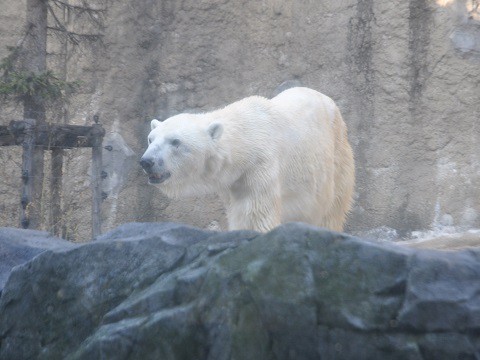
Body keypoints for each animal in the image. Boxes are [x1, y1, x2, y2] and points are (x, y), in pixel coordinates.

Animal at [141, 88, 354, 232]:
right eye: (151, 139)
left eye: (175, 141)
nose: (147, 161)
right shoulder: (233, 182)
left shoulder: (261, 167)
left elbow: (255, 215)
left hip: (337, 160)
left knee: (331, 210)